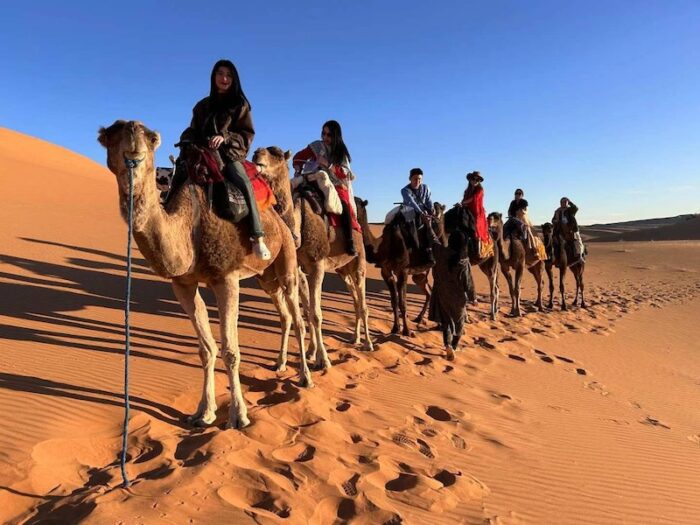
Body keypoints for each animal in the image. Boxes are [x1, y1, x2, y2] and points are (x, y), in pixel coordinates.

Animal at [97, 121, 310, 428]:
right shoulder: (182, 284)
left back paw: (306, 376)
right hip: (265, 277)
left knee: (298, 315)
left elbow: (231, 351)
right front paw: (204, 413)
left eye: (151, 137)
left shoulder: (226, 279)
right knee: (284, 315)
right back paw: (280, 364)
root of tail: (281, 220)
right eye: (109, 137)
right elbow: (206, 349)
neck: (190, 228)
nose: (133, 144)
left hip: (287, 261)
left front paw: (239, 416)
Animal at [253, 156, 372, 368]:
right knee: (355, 299)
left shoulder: (317, 265)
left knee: (363, 301)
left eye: (276, 158)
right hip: (343, 269)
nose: (257, 160)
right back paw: (355, 338)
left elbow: (315, 314)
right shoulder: (299, 269)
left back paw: (368, 343)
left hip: (359, 261)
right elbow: (308, 311)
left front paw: (323, 360)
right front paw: (311, 352)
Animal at [352, 199, 446, 338]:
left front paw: (407, 331)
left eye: (356, 202)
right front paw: (395, 328)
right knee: (427, 289)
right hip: (419, 274)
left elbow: (403, 303)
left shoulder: (403, 271)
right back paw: (419, 318)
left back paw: (441, 324)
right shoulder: (386, 271)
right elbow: (394, 301)